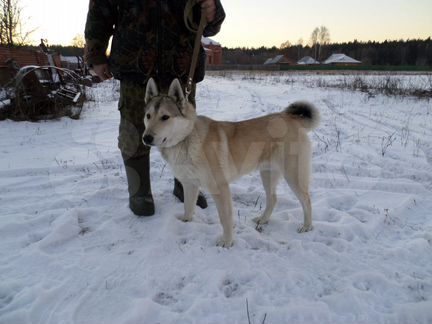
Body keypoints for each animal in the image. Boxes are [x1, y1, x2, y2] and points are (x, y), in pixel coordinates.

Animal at [141, 78, 318, 246]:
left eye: (165, 117)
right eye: (148, 116)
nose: (146, 138)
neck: (186, 139)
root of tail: (290, 118)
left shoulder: (220, 187)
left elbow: (225, 219)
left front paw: (227, 242)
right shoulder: (190, 184)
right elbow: (188, 206)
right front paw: (186, 221)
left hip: (293, 176)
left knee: (307, 200)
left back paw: (307, 226)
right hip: (267, 174)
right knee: (273, 199)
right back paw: (263, 219)